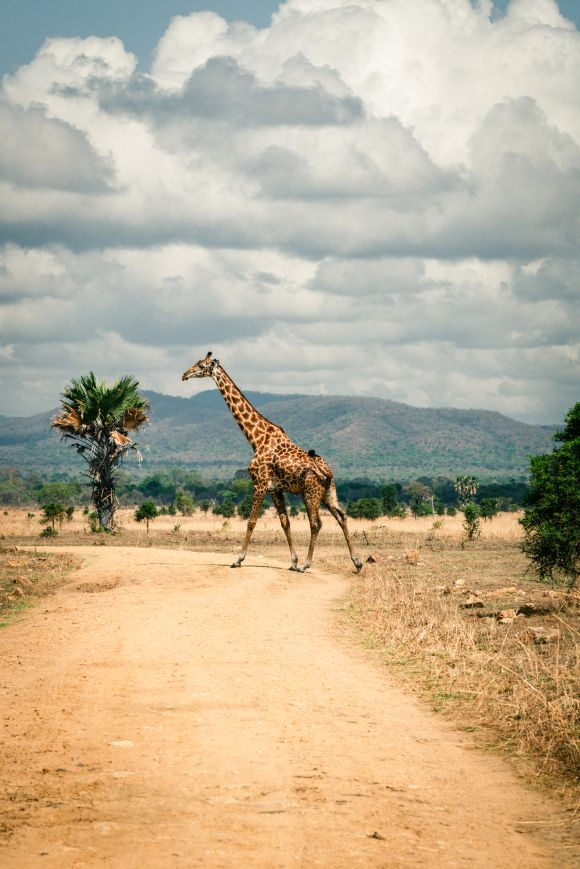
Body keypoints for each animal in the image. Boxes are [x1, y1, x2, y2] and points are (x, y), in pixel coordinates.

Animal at [182, 352, 363, 574]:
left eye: (201, 365)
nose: (184, 375)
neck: (255, 439)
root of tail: (327, 471)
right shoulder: (275, 489)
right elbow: (285, 523)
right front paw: (292, 561)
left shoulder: (259, 484)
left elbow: (251, 521)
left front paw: (238, 559)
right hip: (329, 491)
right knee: (342, 516)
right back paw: (357, 562)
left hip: (310, 492)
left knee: (316, 523)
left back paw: (307, 564)